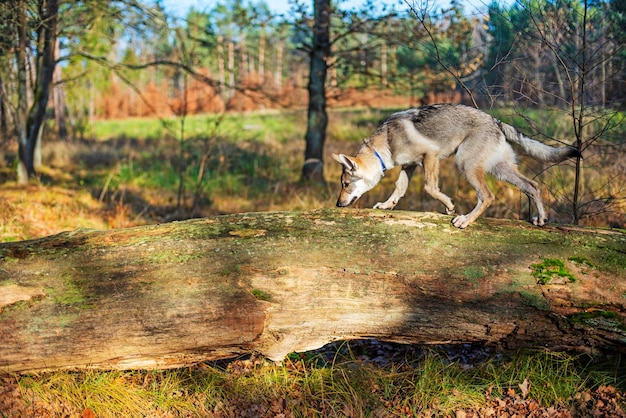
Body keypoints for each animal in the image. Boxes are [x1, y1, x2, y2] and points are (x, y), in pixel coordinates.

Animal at [332, 104, 580, 229]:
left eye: (345, 184)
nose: (337, 204)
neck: (386, 143)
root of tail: (495, 120)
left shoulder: (430, 156)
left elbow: (430, 188)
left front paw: (450, 206)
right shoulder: (409, 166)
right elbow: (399, 189)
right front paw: (386, 205)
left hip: (465, 165)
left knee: (487, 196)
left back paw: (465, 220)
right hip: (500, 170)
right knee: (533, 186)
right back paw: (541, 219)